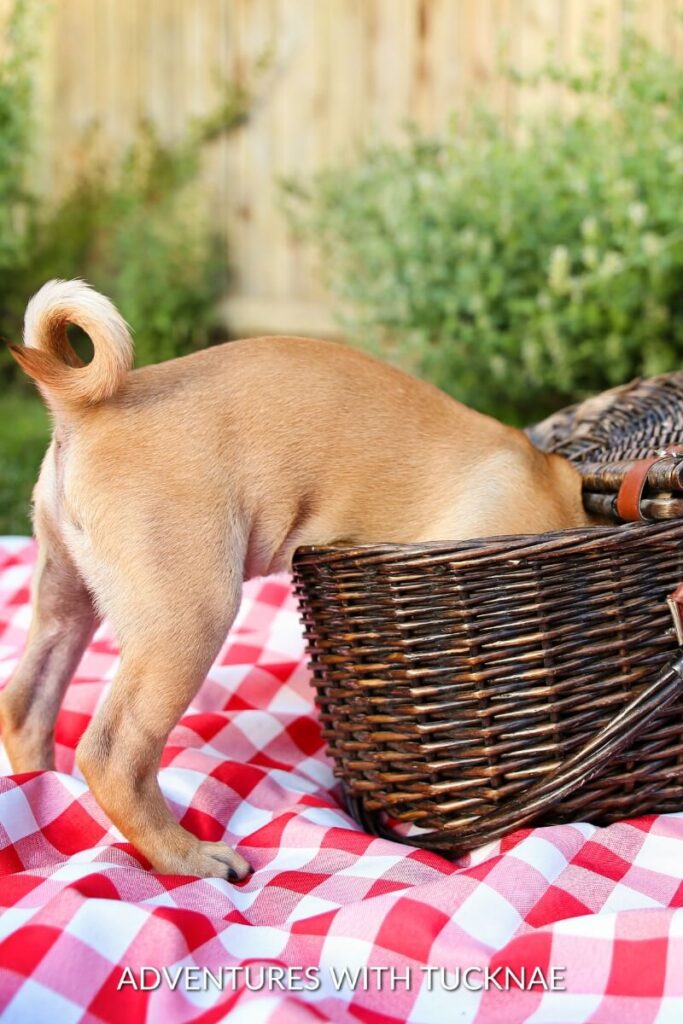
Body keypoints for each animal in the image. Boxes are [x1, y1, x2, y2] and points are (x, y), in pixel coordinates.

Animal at [0, 280, 593, 880]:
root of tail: (86, 408)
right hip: (191, 616)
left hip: (65, 598)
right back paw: (185, 856)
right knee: (114, 754)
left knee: (27, 704)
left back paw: (44, 786)